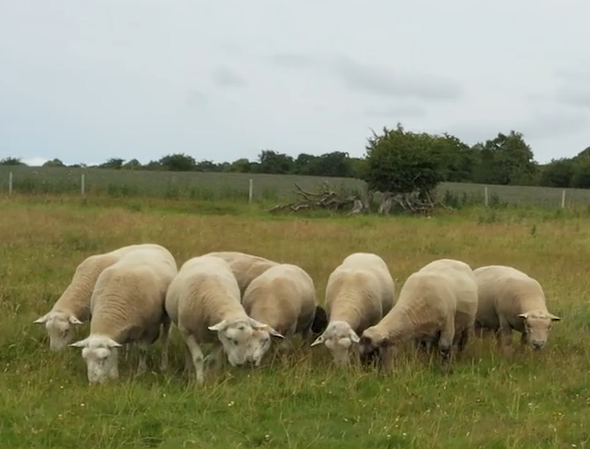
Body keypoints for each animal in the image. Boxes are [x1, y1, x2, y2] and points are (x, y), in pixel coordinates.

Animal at [68, 243, 177, 384]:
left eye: (104, 358)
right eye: (85, 359)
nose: (94, 383)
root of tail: (154, 244)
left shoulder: (150, 329)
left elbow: (142, 350)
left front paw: (140, 372)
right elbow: (116, 350)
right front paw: (115, 374)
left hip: (166, 318)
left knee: (164, 340)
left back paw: (163, 364)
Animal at [163, 254, 280, 384]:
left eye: (249, 338)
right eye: (230, 338)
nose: (240, 364)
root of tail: (206, 257)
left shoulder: (219, 338)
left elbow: (212, 359)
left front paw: (210, 378)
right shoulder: (188, 332)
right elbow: (198, 358)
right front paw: (199, 382)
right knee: (188, 351)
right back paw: (188, 370)